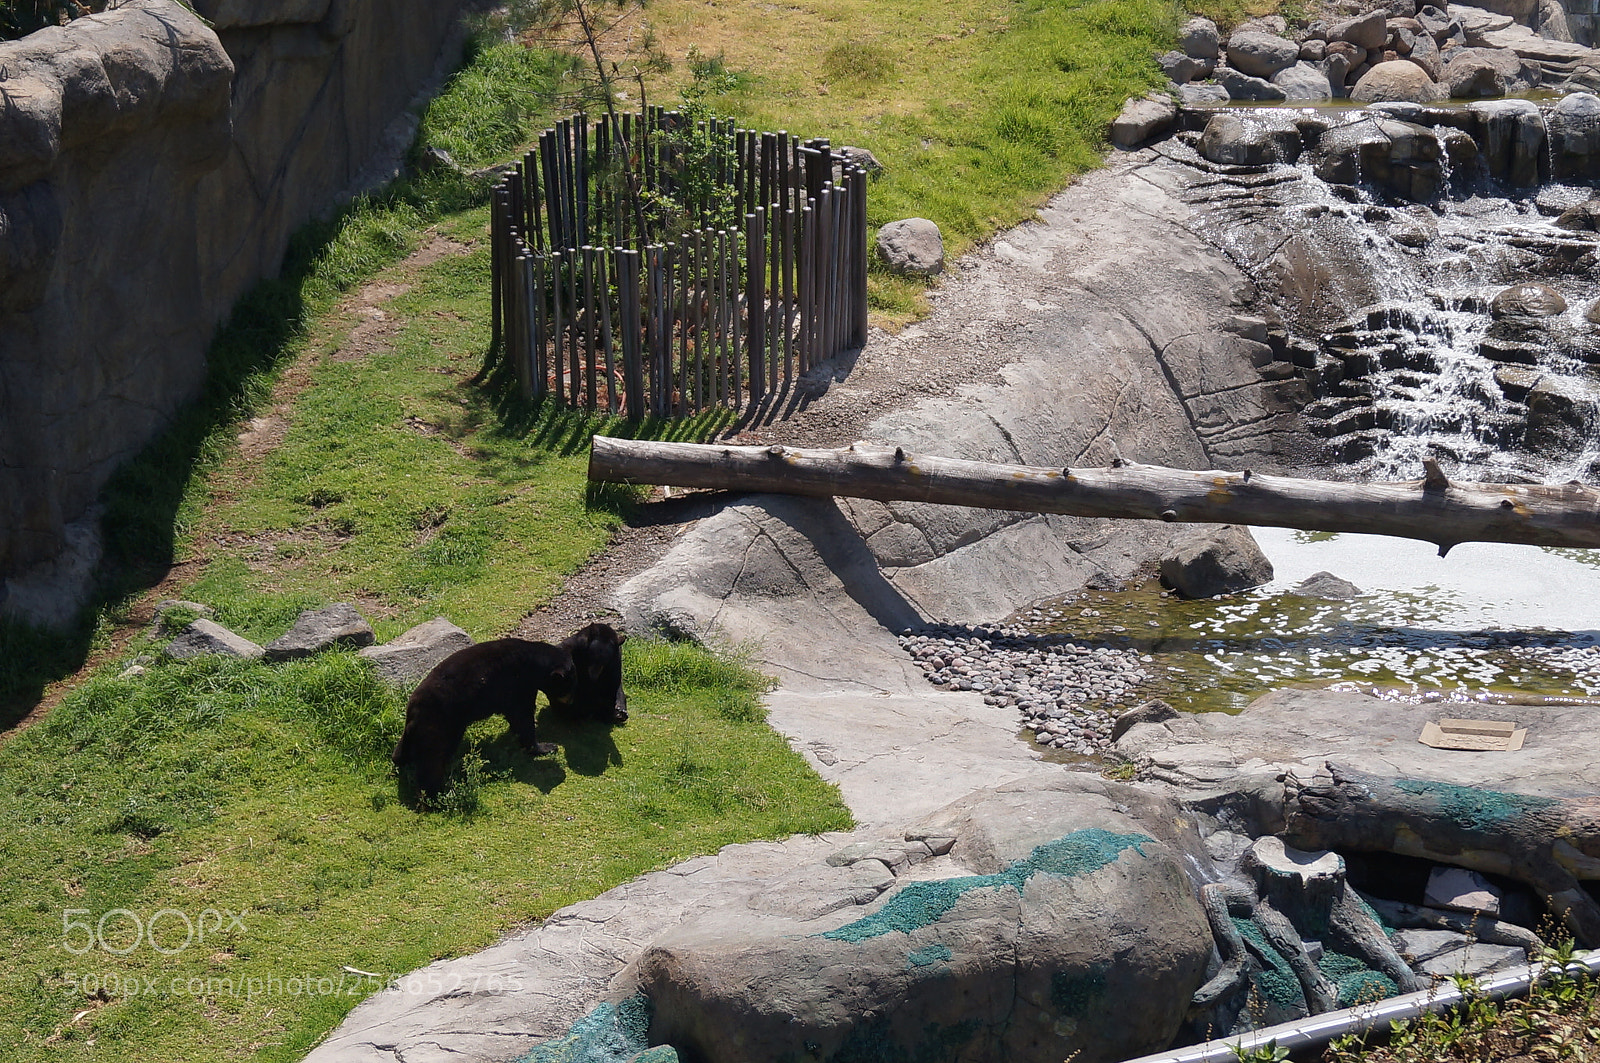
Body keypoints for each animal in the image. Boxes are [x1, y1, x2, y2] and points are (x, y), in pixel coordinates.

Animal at [393, 640, 576, 797]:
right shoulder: (518, 683)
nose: (571, 700)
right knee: (432, 760)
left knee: (406, 748)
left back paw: (399, 760)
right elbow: (522, 716)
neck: (534, 663)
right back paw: (433, 795)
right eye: (570, 685)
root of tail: (413, 709)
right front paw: (546, 747)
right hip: (439, 723)